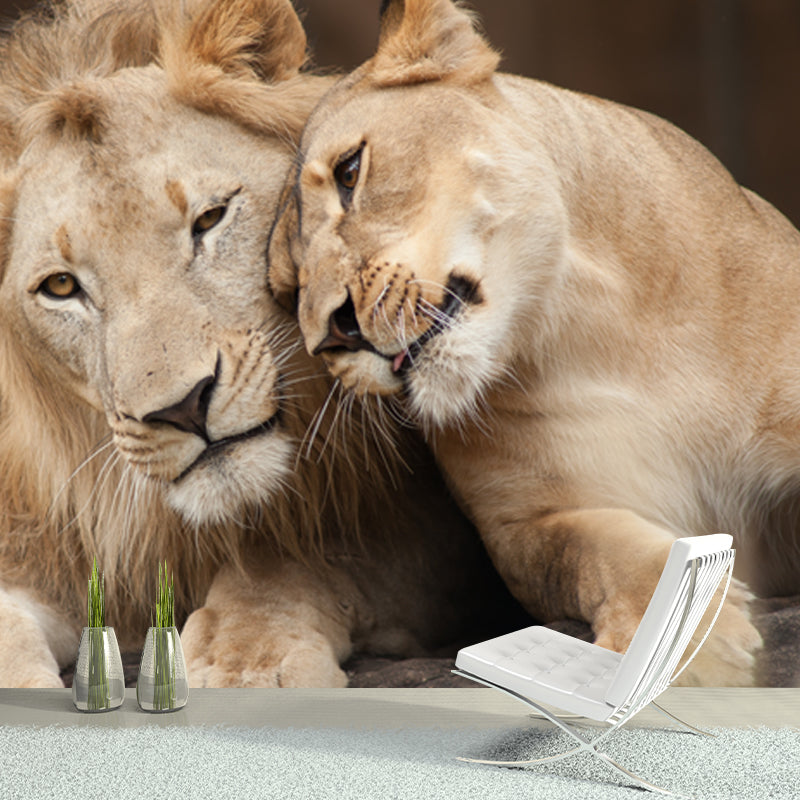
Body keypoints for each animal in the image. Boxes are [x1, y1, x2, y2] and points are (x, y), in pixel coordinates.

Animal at [0, 0, 498, 689]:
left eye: (210, 219)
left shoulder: (439, 538)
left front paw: (249, 660)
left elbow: (303, 556)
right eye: (61, 286)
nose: (183, 408)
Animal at [265, 0, 796, 686]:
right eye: (287, 291)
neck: (588, 329)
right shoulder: (531, 525)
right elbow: (608, 550)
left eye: (349, 172)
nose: (332, 334)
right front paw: (678, 648)